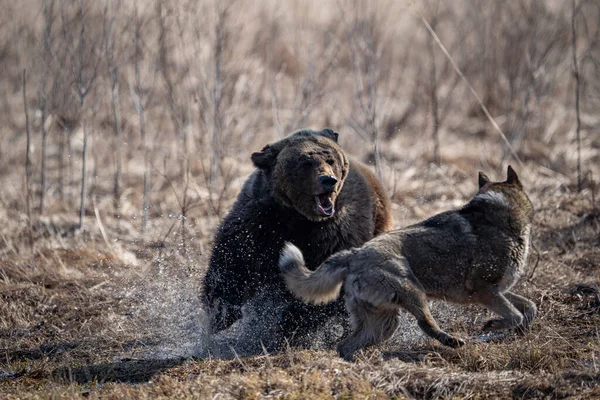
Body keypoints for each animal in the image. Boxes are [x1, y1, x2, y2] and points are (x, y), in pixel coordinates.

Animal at [203, 128, 394, 350]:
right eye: (306, 162)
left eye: (330, 160)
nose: (328, 180)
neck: (298, 218)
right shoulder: (258, 221)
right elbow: (233, 263)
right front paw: (220, 313)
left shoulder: (338, 232)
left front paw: (287, 324)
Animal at [278, 166, 536, 360]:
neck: (500, 218)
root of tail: (354, 254)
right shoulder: (484, 291)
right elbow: (514, 315)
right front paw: (493, 325)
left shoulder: (497, 290)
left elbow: (529, 307)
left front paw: (522, 330)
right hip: (413, 293)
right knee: (426, 324)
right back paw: (452, 341)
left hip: (383, 322)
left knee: (345, 346)